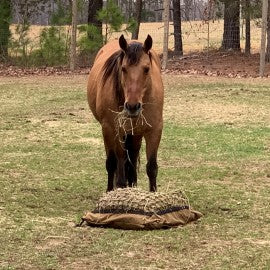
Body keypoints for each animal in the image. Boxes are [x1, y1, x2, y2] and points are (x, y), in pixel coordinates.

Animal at [87, 34, 163, 192]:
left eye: (147, 69)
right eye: (123, 68)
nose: (132, 106)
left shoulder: (154, 130)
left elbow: (151, 167)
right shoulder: (112, 129)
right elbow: (114, 163)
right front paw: (112, 191)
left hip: (135, 133)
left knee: (132, 157)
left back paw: (132, 184)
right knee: (118, 161)